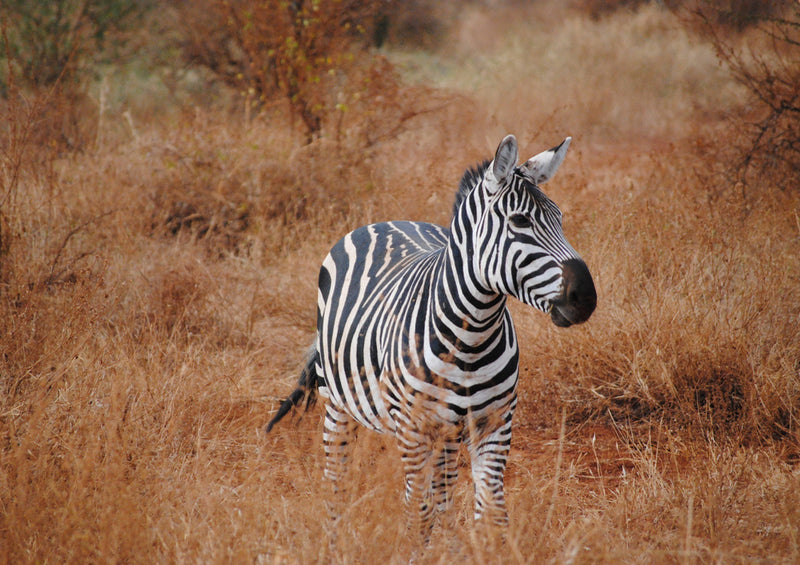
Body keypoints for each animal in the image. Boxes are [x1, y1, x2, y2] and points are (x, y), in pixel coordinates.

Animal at [266, 134, 596, 540]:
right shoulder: (413, 428)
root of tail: (388, 221)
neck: (472, 338)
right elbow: (417, 512)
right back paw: (335, 536)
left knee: (443, 491)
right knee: (338, 475)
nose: (586, 297)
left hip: (448, 431)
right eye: (520, 221)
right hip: (339, 403)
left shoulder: (496, 422)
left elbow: (490, 512)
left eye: (560, 219)